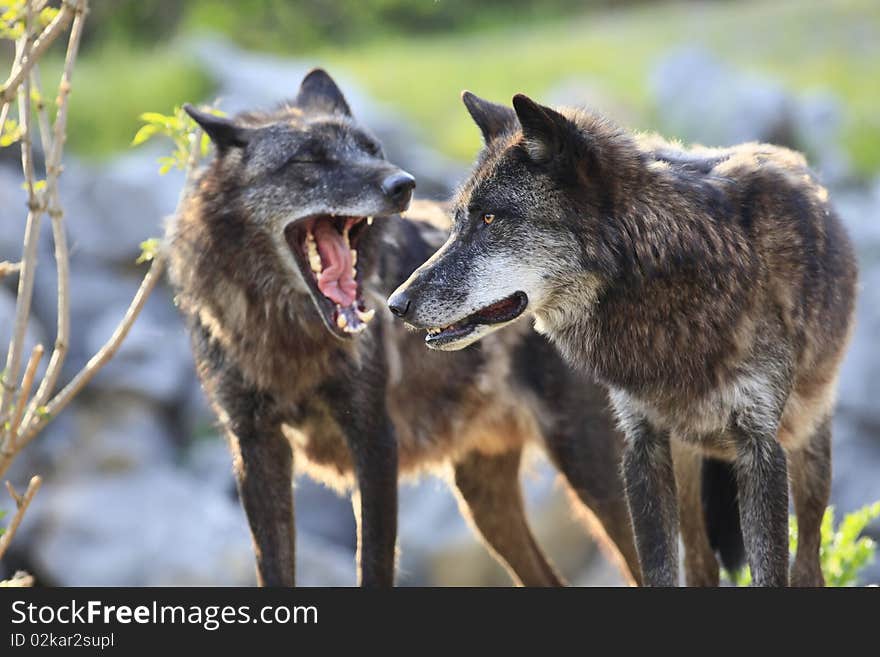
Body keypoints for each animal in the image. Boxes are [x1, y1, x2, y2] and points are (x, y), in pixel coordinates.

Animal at [167, 70, 640, 584]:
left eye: (372, 148)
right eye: (307, 159)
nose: (402, 184)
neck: (288, 335)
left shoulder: (373, 440)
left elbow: (373, 563)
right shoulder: (255, 448)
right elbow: (272, 568)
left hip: (593, 473)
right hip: (485, 502)